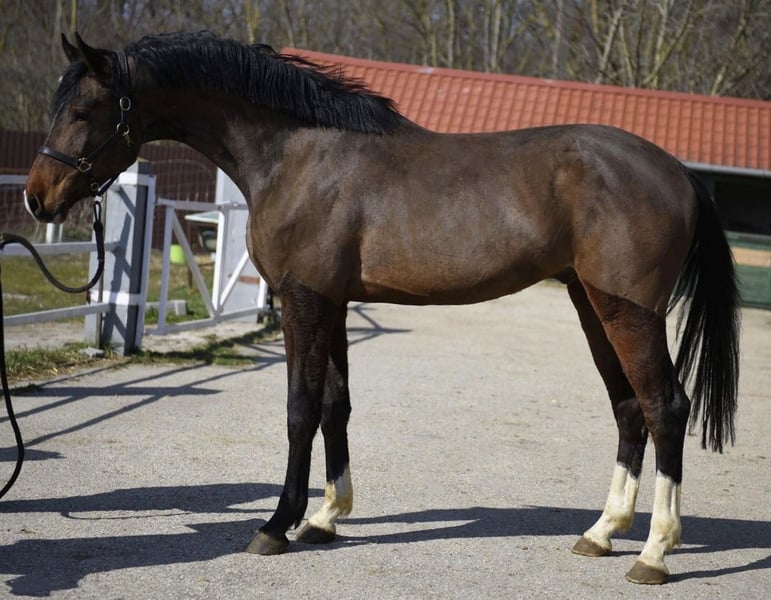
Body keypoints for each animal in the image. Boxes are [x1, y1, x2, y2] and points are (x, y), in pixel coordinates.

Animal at [24, 32, 739, 585]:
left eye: (84, 107)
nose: (36, 197)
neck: (298, 154)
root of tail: (678, 171)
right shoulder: (334, 303)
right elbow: (335, 407)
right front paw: (323, 518)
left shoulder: (304, 302)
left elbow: (300, 411)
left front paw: (276, 525)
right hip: (592, 306)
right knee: (629, 409)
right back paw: (601, 532)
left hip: (630, 312)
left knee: (665, 407)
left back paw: (654, 552)